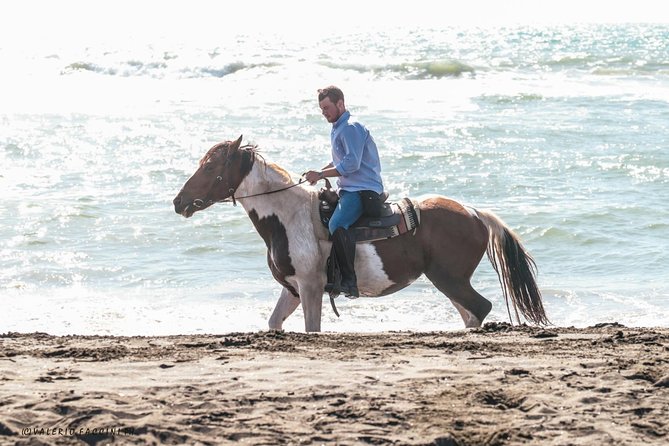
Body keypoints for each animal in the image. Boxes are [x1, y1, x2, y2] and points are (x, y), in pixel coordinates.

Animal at [172, 136, 548, 332]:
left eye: (210, 166)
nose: (179, 202)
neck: (288, 215)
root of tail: (474, 213)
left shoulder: (310, 287)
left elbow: (312, 329)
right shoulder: (293, 288)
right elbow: (274, 322)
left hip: (449, 278)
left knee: (478, 309)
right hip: (450, 281)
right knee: (471, 313)